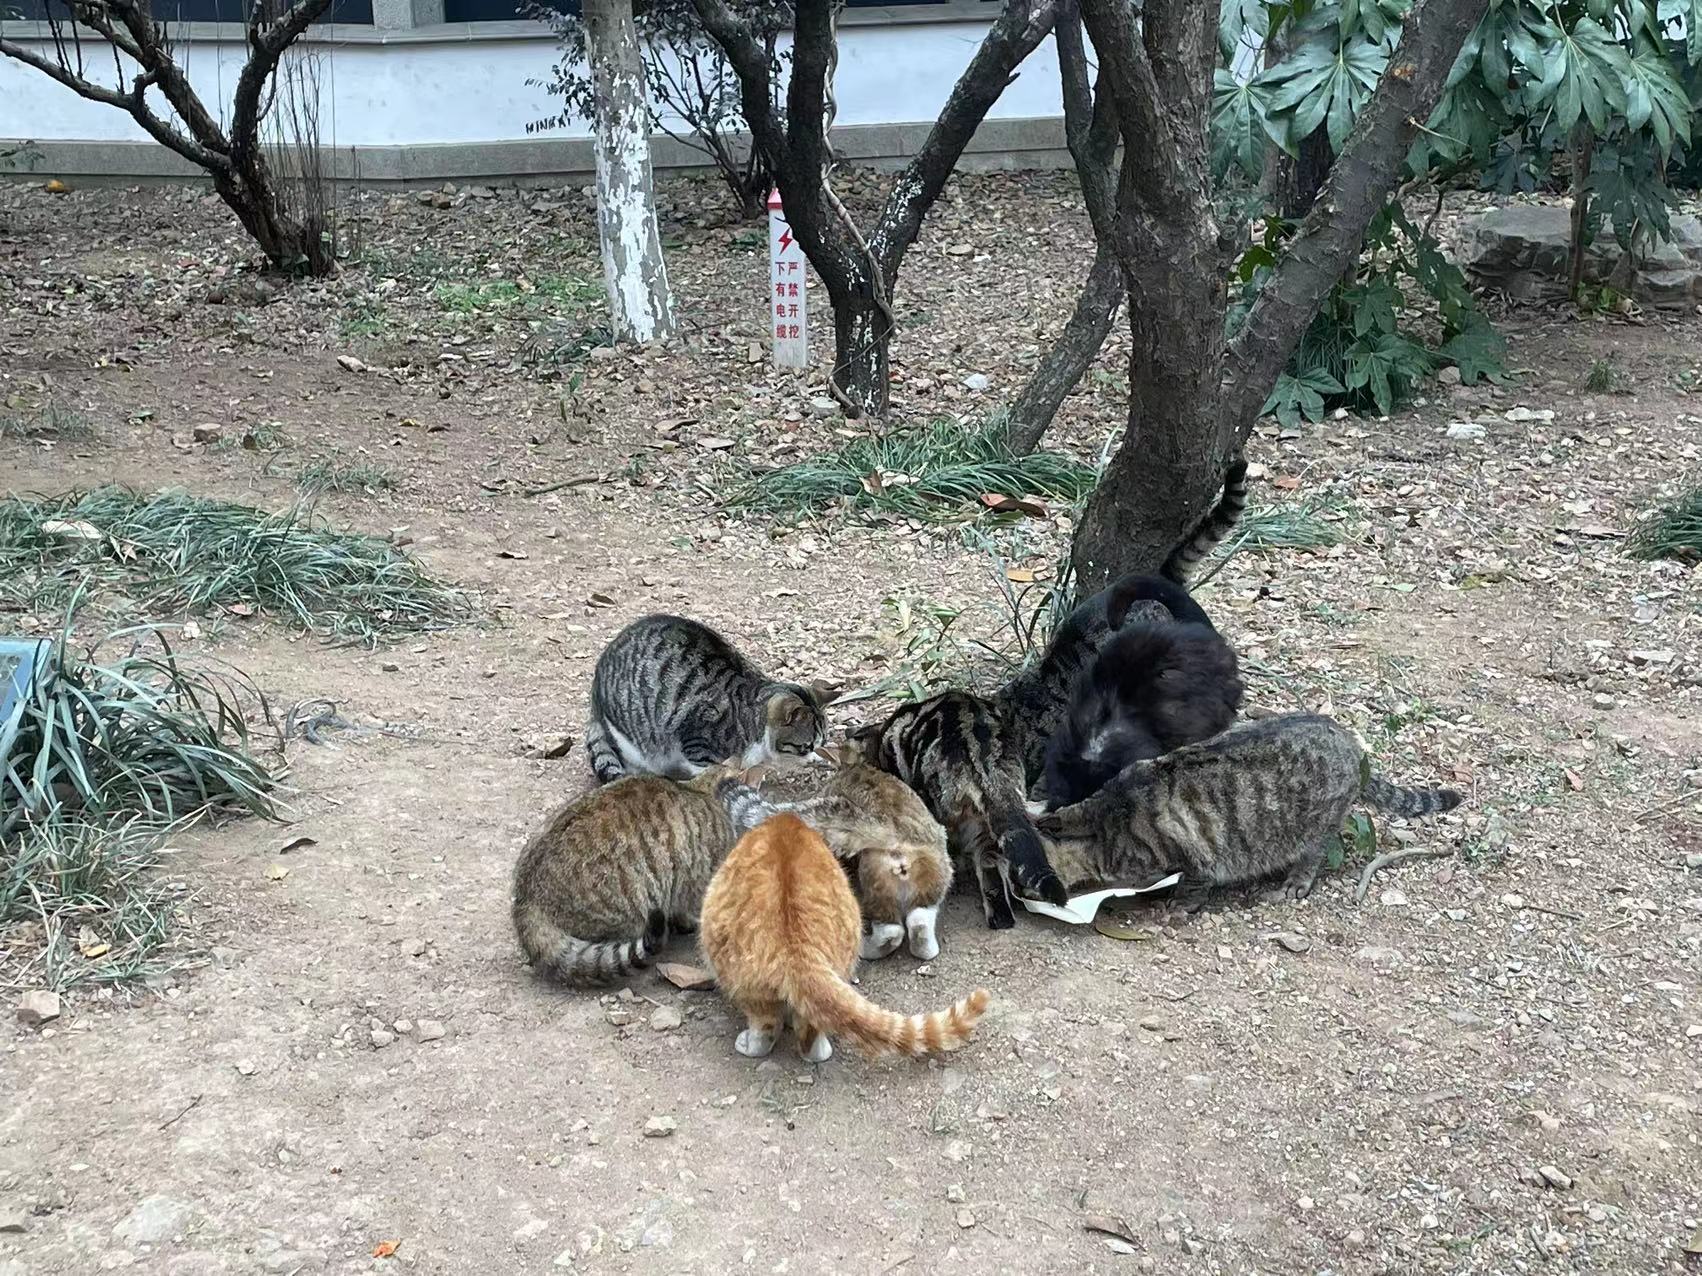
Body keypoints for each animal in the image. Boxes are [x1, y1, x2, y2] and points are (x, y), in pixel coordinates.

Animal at [1034, 713, 1462, 904]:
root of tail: (1348, 741)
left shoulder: (1190, 856)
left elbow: (1193, 884)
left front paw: (1178, 904)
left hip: (1316, 827)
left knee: (1315, 851)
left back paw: (1297, 880)